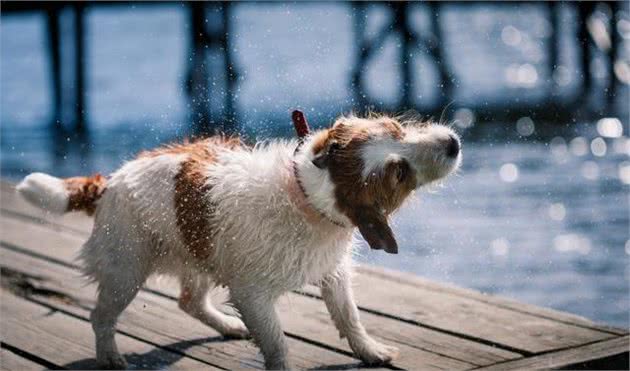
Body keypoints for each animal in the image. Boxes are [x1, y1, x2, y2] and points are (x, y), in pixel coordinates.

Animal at [18, 115, 464, 370]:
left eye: (398, 131)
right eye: (399, 172)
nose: (453, 143)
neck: (304, 196)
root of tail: (110, 181)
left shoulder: (332, 273)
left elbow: (349, 317)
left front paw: (369, 352)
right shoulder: (253, 294)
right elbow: (277, 344)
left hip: (198, 254)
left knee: (190, 301)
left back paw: (228, 326)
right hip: (125, 270)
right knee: (101, 317)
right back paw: (109, 355)